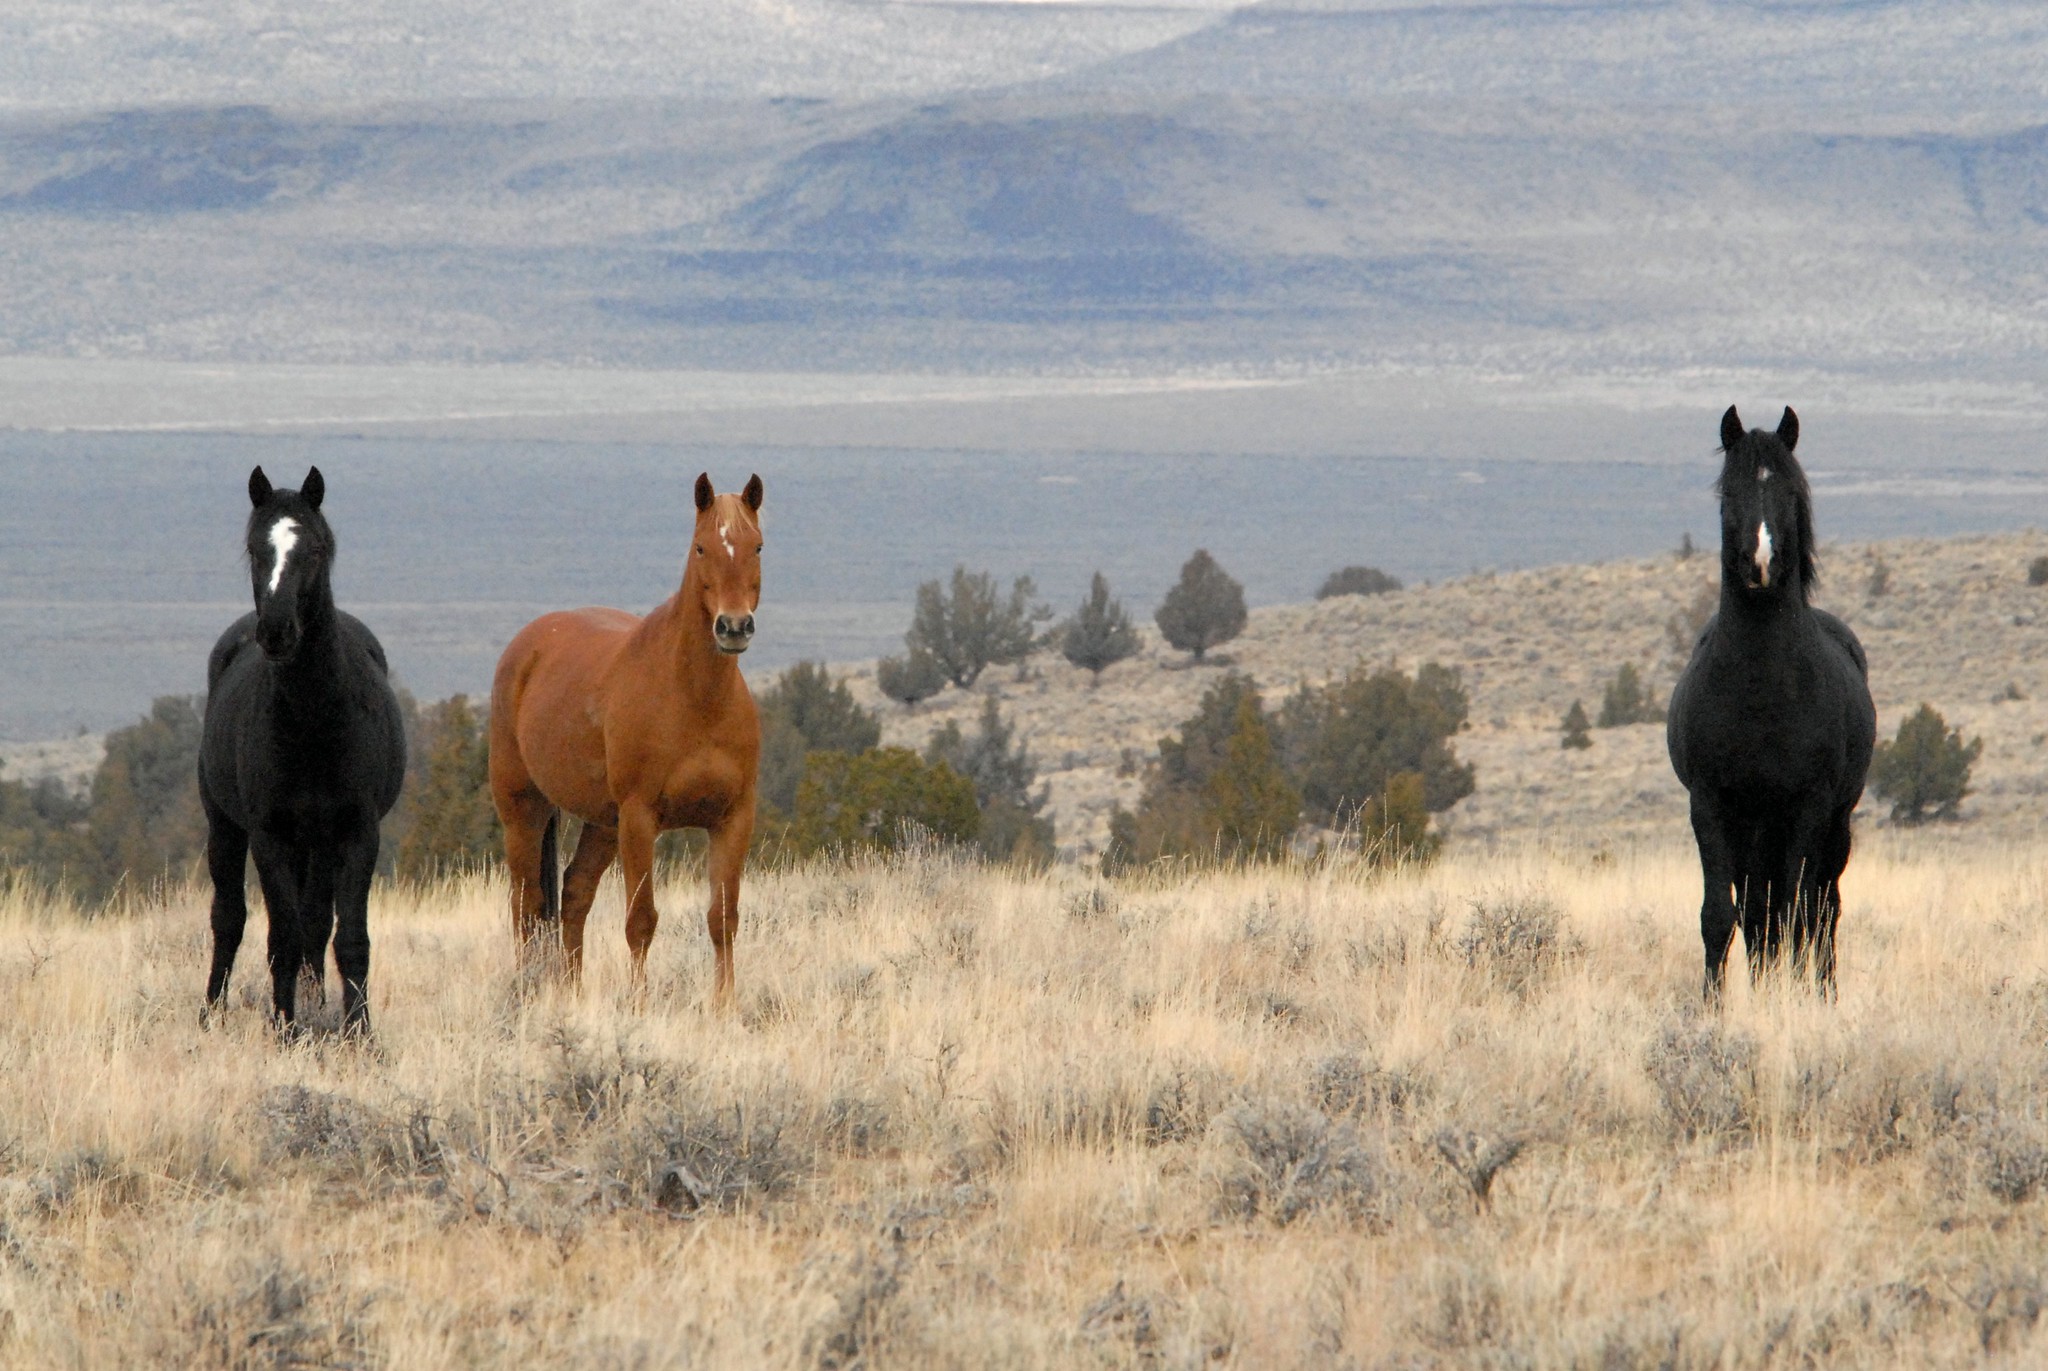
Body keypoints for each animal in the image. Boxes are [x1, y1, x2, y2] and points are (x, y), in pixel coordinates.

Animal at [197, 465, 405, 1032]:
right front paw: (286, 1029)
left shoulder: (357, 833)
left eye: (313, 549)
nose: (276, 630)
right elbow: (281, 939)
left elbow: (349, 939)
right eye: (254, 549)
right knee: (229, 918)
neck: (314, 724)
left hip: (319, 844)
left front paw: (360, 1034)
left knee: (316, 923)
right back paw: (211, 1011)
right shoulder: (270, 836)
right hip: (226, 828)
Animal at [491, 471, 765, 995]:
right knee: (526, 904)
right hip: (524, 810)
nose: (734, 626)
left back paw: (572, 993)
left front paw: (725, 1005)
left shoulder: (732, 819)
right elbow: (641, 919)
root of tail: (528, 644)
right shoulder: (640, 819)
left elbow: (723, 919)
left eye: (757, 546)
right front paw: (639, 1003)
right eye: (701, 547)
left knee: (574, 894)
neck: (695, 699)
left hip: (601, 822)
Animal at [1662, 405, 1875, 995]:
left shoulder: (1808, 807)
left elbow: (1799, 912)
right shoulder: (1712, 806)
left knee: (1821, 909)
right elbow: (1721, 915)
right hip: (1754, 834)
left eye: (1788, 489)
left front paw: (1797, 997)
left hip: (1832, 827)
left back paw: (1822, 989)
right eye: (1728, 490)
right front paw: (1713, 1004)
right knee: (1761, 913)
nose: (1760, 562)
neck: (1760, 691)